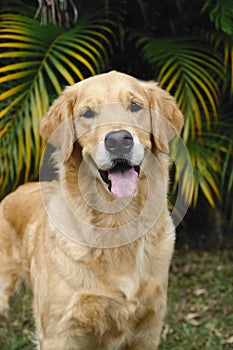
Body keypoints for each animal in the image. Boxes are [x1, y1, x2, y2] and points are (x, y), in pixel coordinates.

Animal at [0, 72, 184, 350]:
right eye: (87, 113)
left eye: (135, 106)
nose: (118, 140)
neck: (116, 223)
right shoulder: (58, 334)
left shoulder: (147, 330)